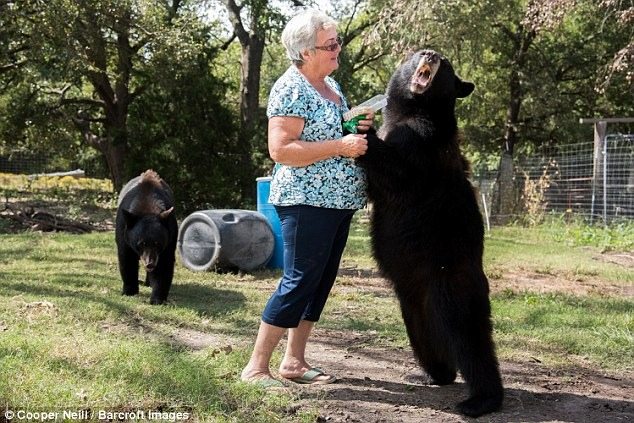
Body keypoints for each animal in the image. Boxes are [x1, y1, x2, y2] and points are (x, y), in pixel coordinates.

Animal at [114, 171, 177, 306]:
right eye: (141, 243)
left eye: (158, 243)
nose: (150, 264)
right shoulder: (124, 232)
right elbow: (127, 259)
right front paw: (129, 290)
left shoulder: (170, 236)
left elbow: (164, 264)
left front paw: (157, 298)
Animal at [356, 49, 504, 418]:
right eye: (415, 53)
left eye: (447, 64)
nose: (430, 54)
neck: (412, 110)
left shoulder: (423, 141)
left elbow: (399, 173)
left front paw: (363, 131)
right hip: (411, 303)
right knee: (427, 337)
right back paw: (431, 374)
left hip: (451, 285)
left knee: (469, 338)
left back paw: (480, 400)